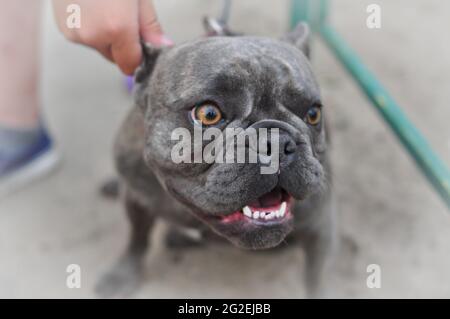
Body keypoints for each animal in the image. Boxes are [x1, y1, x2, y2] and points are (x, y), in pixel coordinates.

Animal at [96, 23, 336, 298]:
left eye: (313, 113)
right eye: (208, 113)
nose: (275, 142)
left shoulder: (321, 227)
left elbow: (318, 280)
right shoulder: (137, 199)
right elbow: (136, 239)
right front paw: (124, 274)